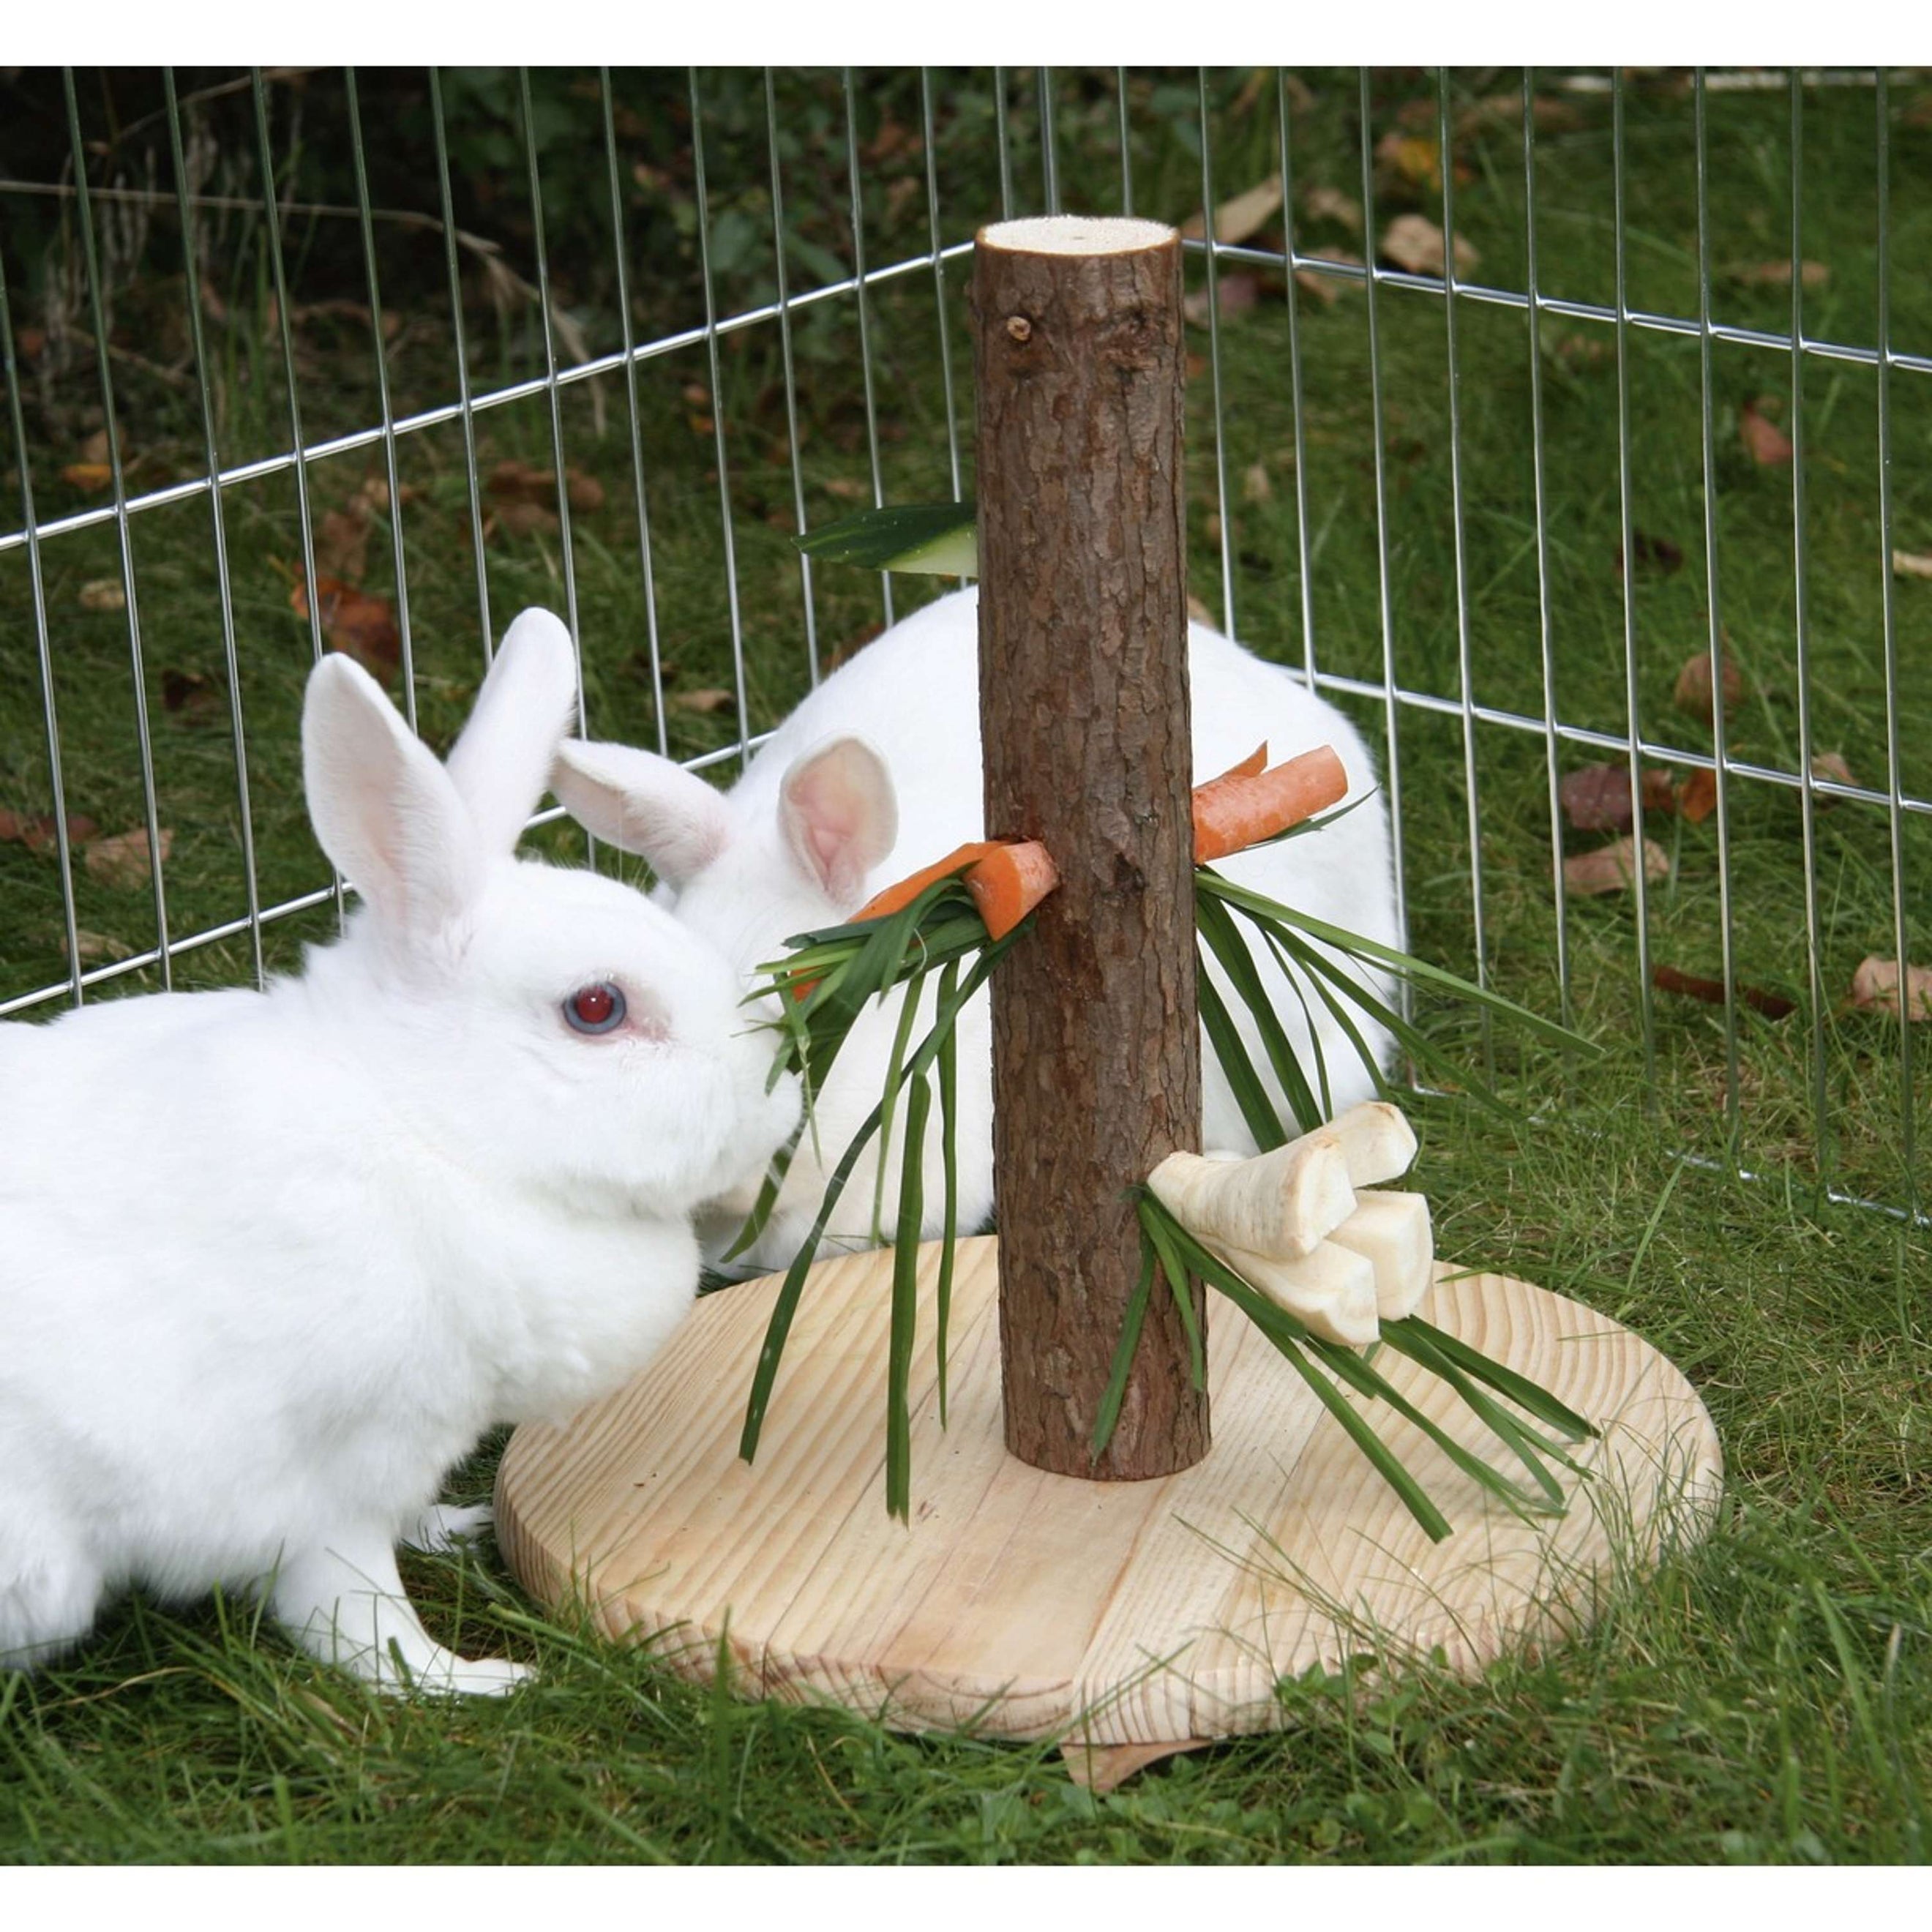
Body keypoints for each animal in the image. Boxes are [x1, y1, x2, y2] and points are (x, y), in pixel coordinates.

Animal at [0, 610, 799, 1700]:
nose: (778, 1104)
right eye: (598, 1008)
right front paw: (478, 1679)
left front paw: (454, 1527)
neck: (427, 1134)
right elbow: (357, 1616)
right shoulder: (320, 1489)